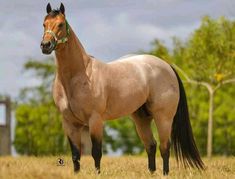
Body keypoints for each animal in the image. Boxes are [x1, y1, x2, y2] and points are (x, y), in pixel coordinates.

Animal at [40, 3, 204, 175]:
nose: (45, 45)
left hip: (163, 118)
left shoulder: (95, 120)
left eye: (60, 24)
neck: (80, 75)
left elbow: (96, 153)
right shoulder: (69, 123)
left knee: (165, 147)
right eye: (44, 24)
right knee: (151, 146)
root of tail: (167, 66)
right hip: (141, 119)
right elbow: (75, 155)